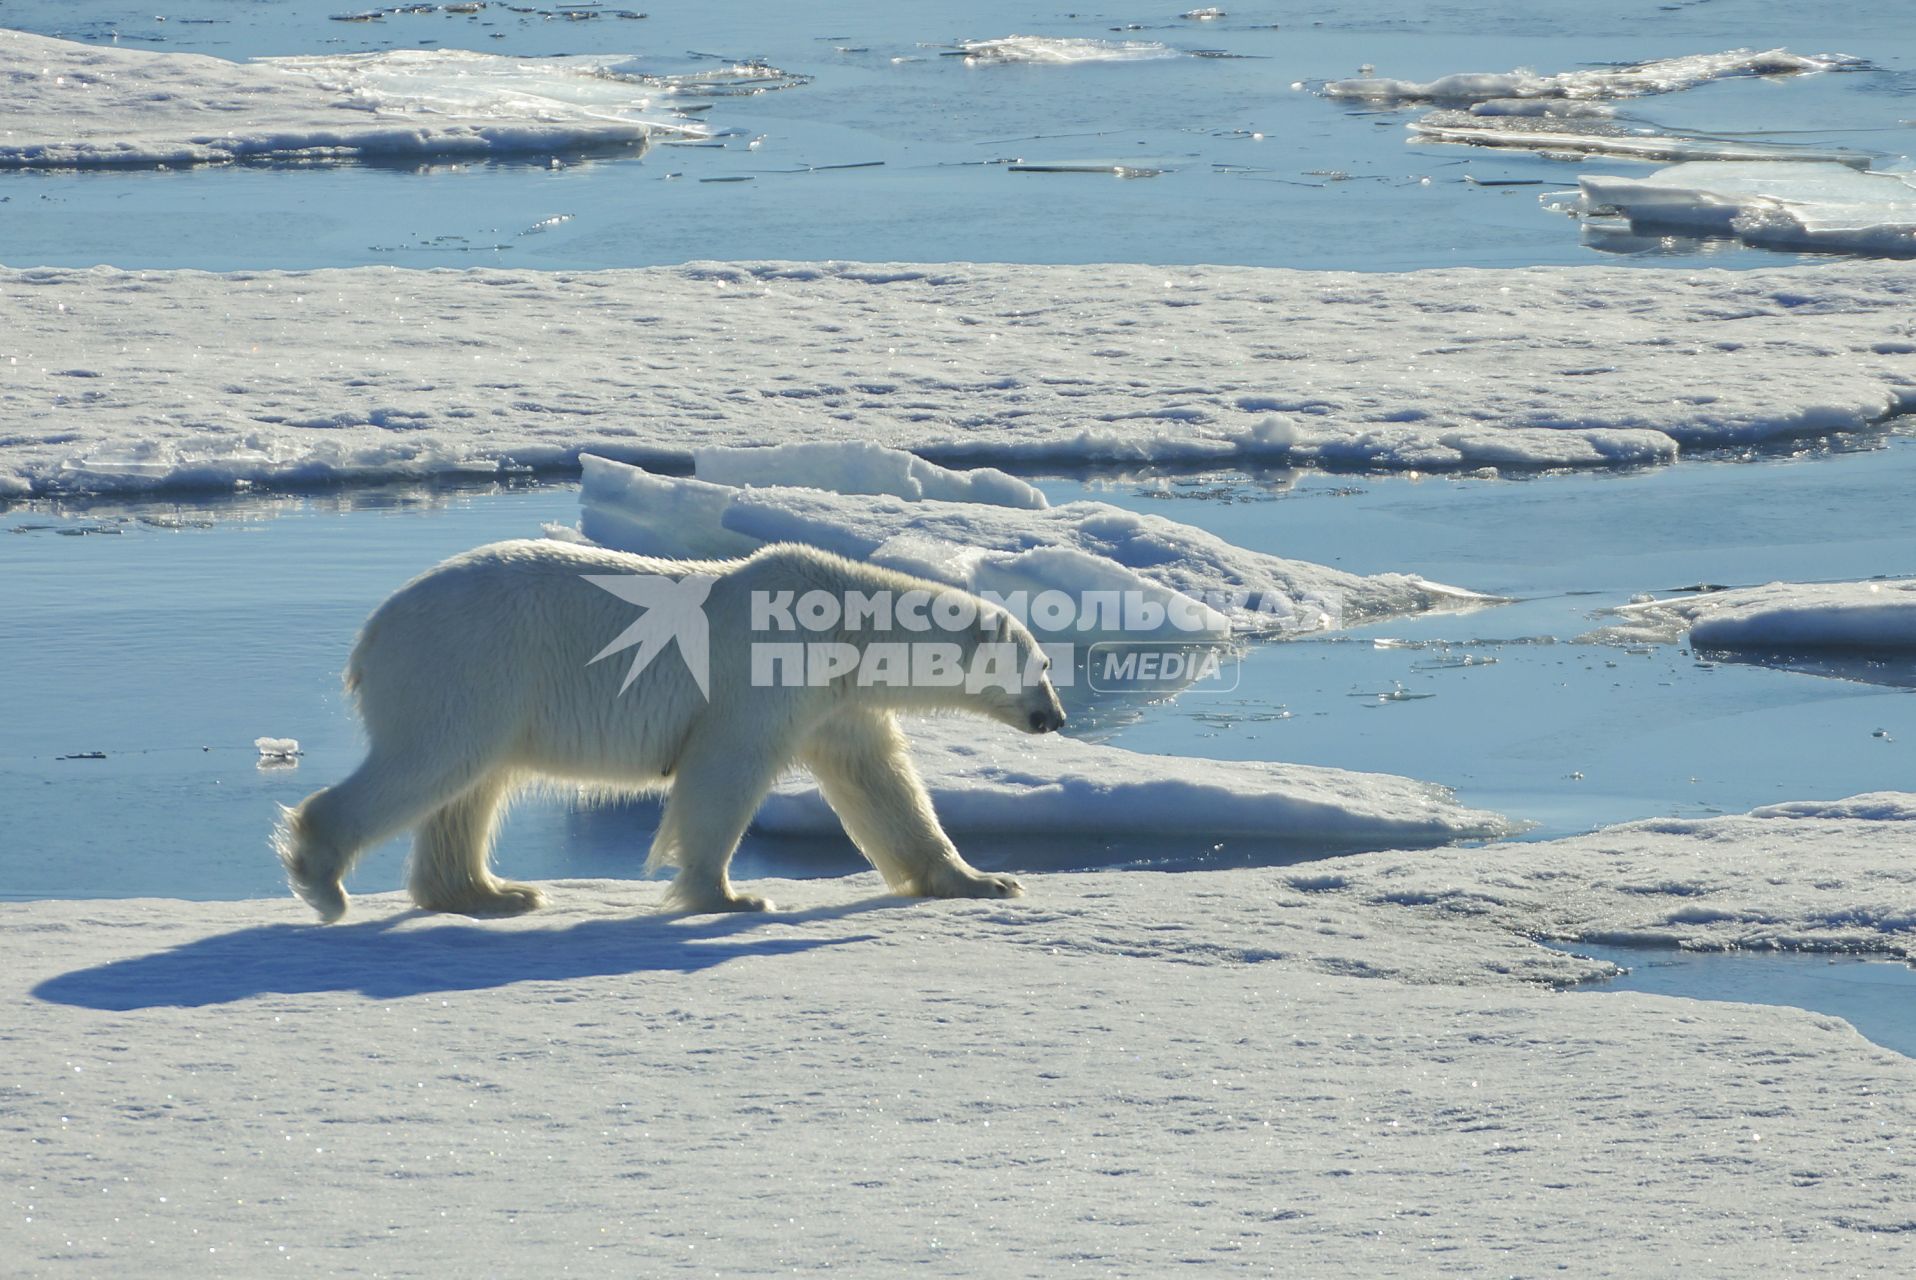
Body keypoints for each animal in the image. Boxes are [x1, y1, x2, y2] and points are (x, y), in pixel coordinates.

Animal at [277, 536, 1072, 919]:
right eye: (1041, 664)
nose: (1056, 717)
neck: (838, 620)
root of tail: (373, 631)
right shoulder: (760, 676)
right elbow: (725, 769)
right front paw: (731, 896)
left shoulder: (835, 702)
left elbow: (883, 784)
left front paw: (984, 880)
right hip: (468, 665)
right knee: (433, 763)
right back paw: (323, 878)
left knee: (471, 788)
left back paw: (494, 894)